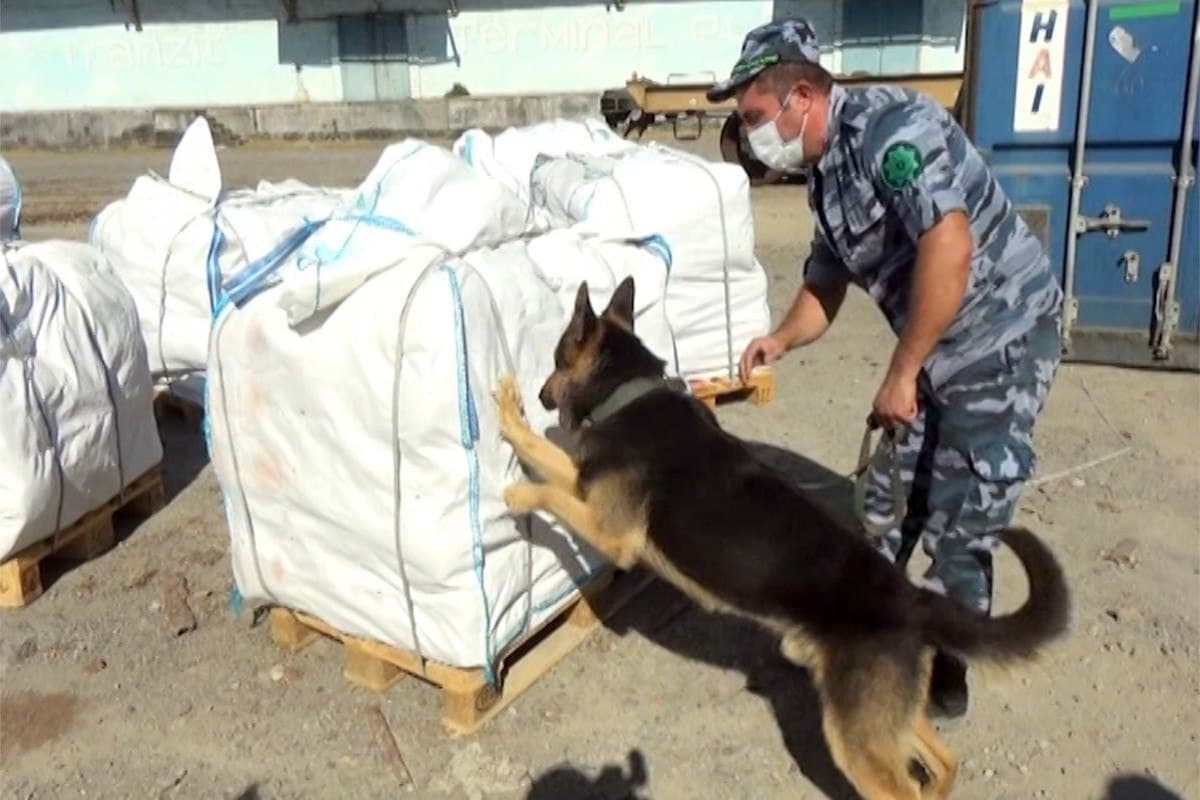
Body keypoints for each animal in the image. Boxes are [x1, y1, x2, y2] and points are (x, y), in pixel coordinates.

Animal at [492, 277, 1075, 800]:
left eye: (556, 358)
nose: (540, 394)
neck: (629, 393)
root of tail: (911, 597)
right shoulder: (587, 487)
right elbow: (550, 463)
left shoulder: (607, 528)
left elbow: (547, 485)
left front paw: (516, 473)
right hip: (883, 718)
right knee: (942, 764)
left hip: (855, 738)